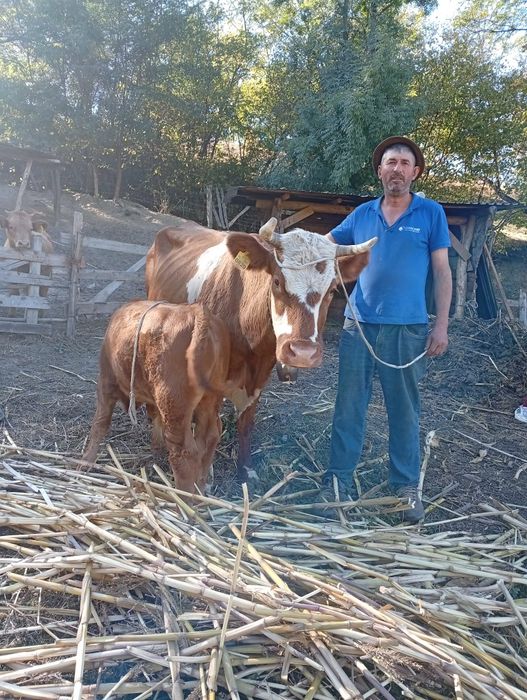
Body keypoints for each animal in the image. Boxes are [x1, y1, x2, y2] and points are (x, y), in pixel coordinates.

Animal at [83, 300, 231, 495]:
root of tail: (197, 313)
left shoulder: (106, 382)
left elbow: (100, 423)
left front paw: (85, 462)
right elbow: (156, 417)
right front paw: (156, 446)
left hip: (174, 403)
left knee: (185, 452)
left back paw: (184, 497)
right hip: (210, 401)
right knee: (209, 438)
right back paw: (200, 488)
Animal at [145, 216, 377, 482]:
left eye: (332, 290)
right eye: (276, 281)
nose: (303, 353)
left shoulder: (261, 372)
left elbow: (246, 423)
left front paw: (245, 469)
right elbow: (211, 426)